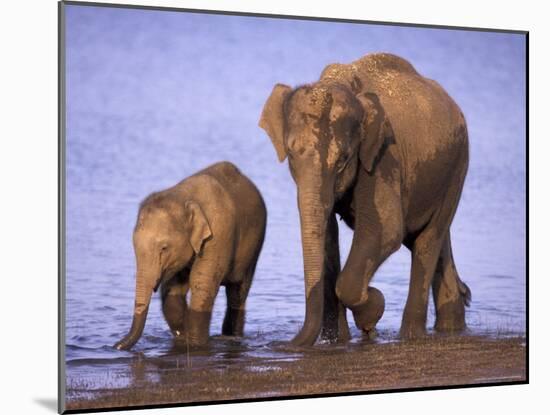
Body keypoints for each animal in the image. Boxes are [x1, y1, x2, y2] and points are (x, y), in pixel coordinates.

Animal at [114, 162, 268, 352]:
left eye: (164, 248)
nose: (115, 346)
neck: (183, 197)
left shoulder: (218, 235)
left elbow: (201, 283)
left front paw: (195, 345)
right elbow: (173, 289)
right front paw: (183, 337)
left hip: (254, 248)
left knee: (237, 293)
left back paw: (232, 336)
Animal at [260, 52, 472, 348]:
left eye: (343, 160)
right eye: (291, 154)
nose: (280, 345)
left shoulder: (383, 155)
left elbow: (387, 230)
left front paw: (373, 312)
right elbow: (328, 237)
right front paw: (337, 340)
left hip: (457, 167)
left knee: (428, 239)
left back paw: (411, 336)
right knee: (433, 239)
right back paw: (452, 324)